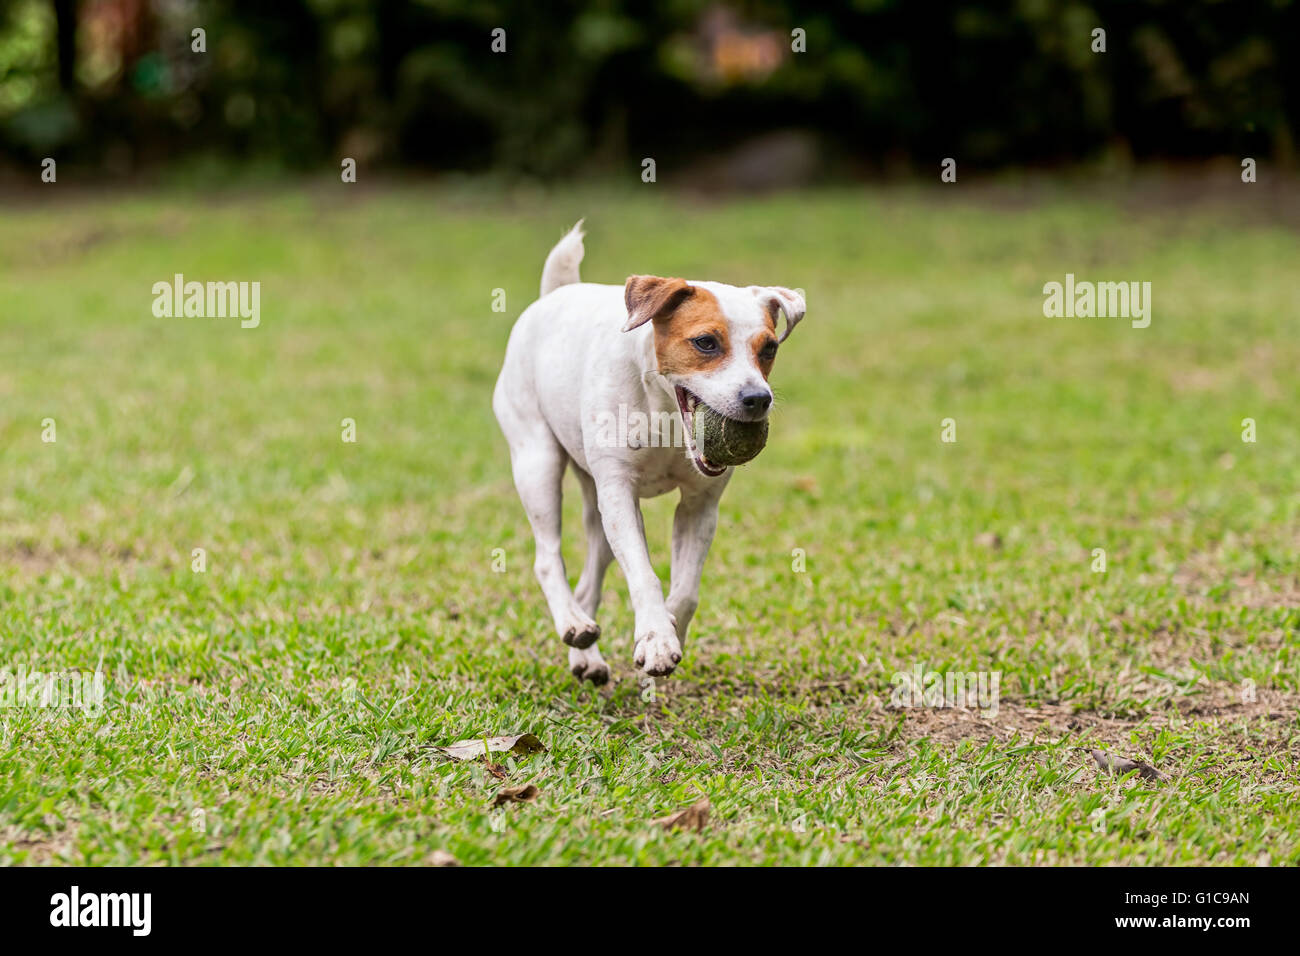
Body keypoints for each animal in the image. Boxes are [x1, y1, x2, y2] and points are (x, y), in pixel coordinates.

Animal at [493, 221, 806, 686]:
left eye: (769, 348)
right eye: (705, 342)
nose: (757, 399)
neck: (664, 415)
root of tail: (555, 293)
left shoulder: (700, 505)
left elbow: (687, 591)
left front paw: (667, 627)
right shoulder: (620, 494)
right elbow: (644, 574)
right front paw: (657, 636)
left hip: (596, 507)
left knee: (591, 576)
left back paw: (586, 655)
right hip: (538, 464)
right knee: (547, 558)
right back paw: (574, 623)